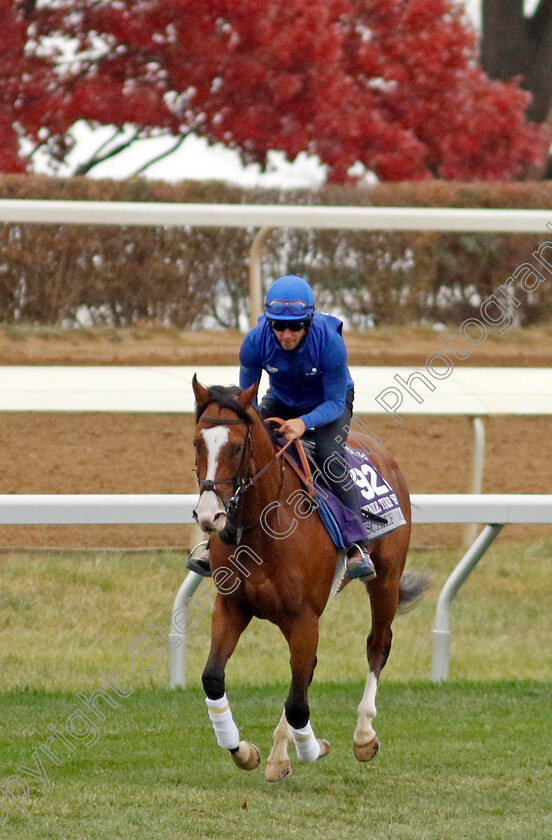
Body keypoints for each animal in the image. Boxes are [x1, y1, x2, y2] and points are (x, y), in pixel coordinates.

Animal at [190, 374, 422, 780]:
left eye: (237, 446)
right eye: (196, 443)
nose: (209, 516)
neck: (263, 527)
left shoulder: (303, 618)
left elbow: (299, 703)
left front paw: (314, 748)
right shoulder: (232, 608)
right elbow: (213, 679)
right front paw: (244, 751)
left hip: (386, 579)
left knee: (377, 644)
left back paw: (363, 735)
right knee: (306, 673)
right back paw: (279, 755)